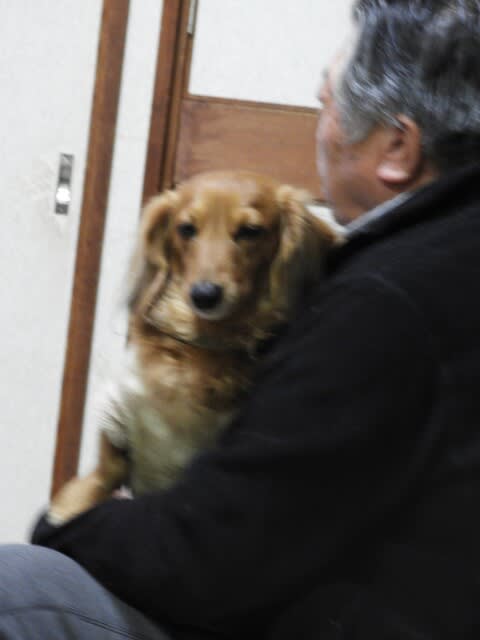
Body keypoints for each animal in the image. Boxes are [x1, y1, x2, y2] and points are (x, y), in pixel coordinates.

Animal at [49, 170, 340, 522]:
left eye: (251, 231)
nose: (204, 295)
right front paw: (66, 508)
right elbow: (95, 483)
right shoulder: (117, 426)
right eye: (186, 229)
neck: (203, 346)